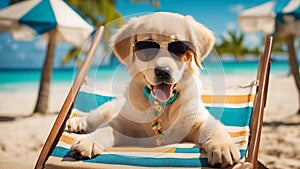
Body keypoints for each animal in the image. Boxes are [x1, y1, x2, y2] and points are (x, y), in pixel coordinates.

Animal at [67, 12, 240, 168]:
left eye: (179, 47)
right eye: (147, 47)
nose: (163, 71)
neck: (162, 106)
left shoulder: (199, 118)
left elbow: (214, 128)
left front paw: (223, 146)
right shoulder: (123, 123)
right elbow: (106, 128)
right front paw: (89, 141)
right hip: (110, 108)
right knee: (94, 117)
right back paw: (77, 123)